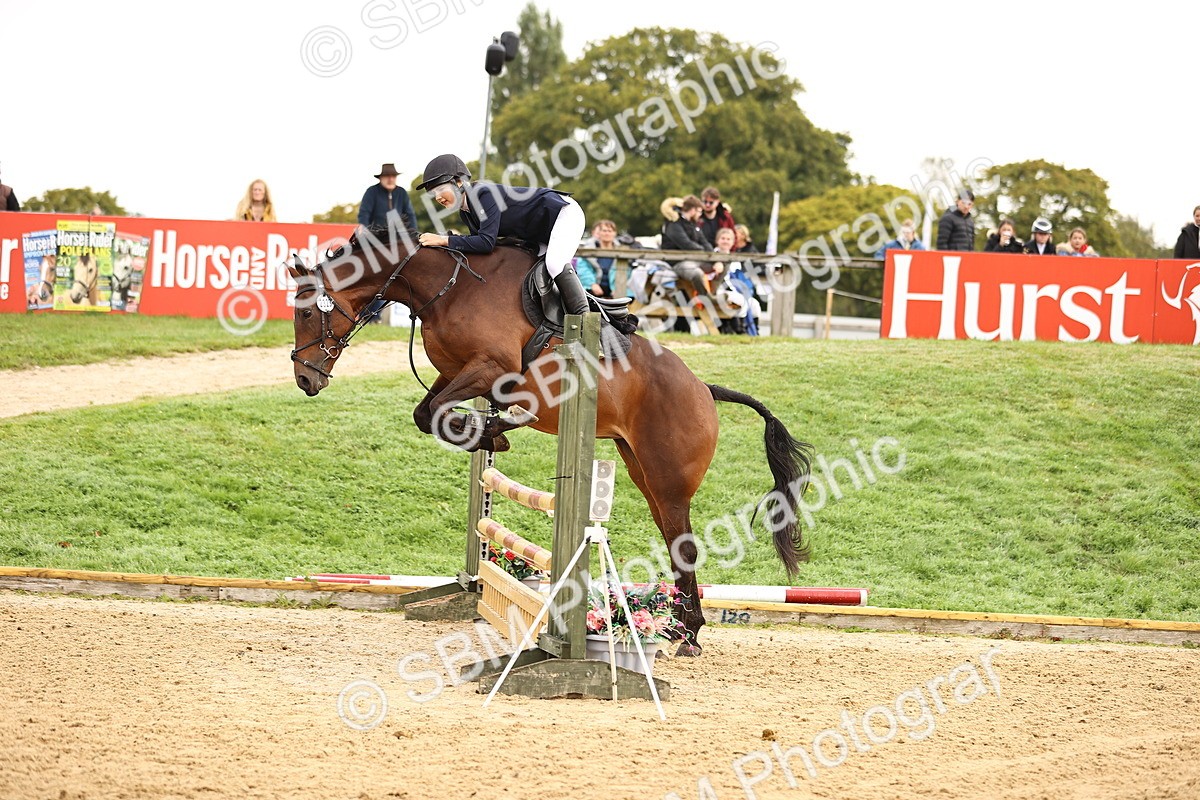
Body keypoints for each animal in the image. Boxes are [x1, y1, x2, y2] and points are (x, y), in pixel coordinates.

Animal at [287, 228, 814, 654]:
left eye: (310, 312)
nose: (305, 380)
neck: (447, 288)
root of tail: (704, 388)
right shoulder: (455, 373)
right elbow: (426, 414)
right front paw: (489, 435)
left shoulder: (490, 369)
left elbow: (436, 415)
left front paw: (494, 431)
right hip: (643, 472)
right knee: (673, 541)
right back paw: (682, 631)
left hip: (667, 479)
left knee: (682, 547)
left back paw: (687, 637)